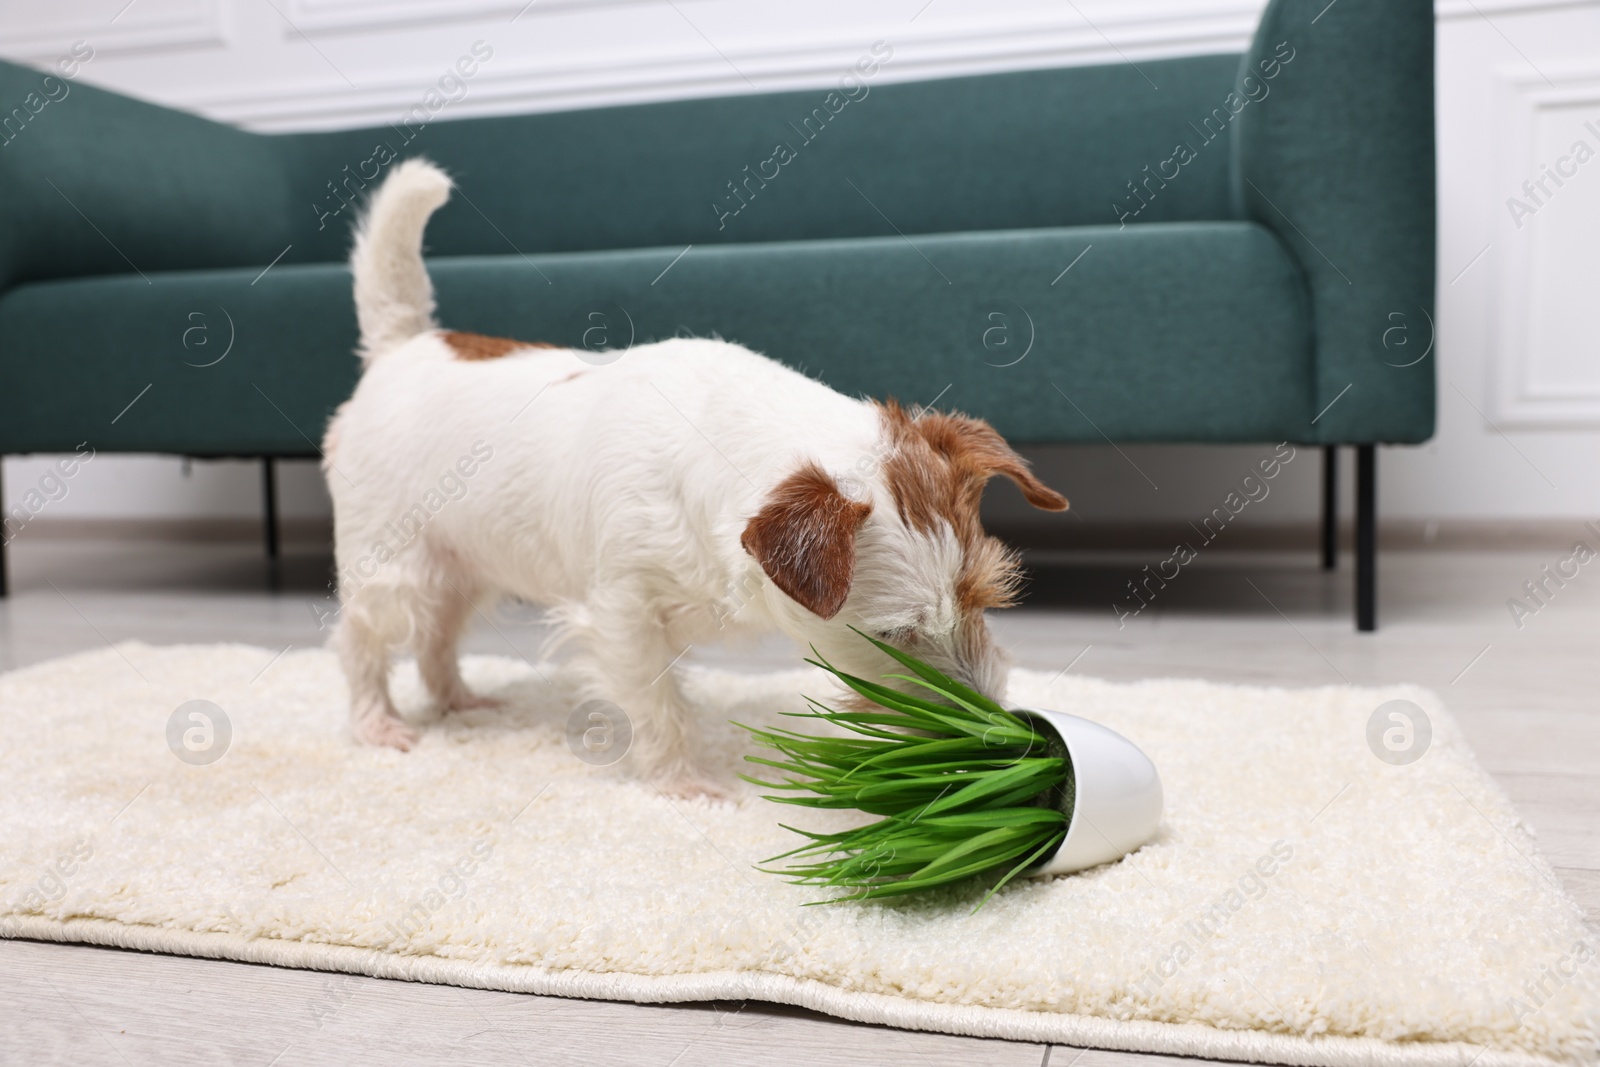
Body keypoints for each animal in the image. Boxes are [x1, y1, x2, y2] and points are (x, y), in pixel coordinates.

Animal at [324, 158, 1068, 793]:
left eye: (985, 600)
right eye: (895, 639)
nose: (992, 730)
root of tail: (401, 348)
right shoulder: (622, 612)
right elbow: (656, 703)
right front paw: (684, 783)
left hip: (465, 564)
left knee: (438, 635)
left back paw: (459, 699)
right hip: (397, 566)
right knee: (362, 637)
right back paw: (376, 723)